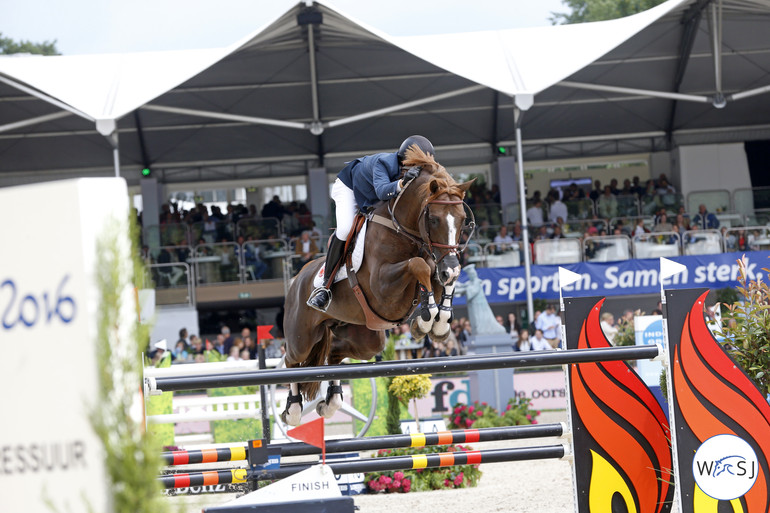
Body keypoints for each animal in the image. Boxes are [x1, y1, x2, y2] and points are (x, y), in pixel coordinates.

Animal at [280, 147, 472, 424]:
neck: (403, 231)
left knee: (334, 353)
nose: (451, 265)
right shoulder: (384, 290)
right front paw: (427, 319)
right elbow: (419, 266)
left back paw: (331, 402)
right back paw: (293, 410)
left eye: (463, 219)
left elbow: (435, 276)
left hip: (366, 338)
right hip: (302, 338)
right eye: (434, 219)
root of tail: (296, 279)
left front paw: (439, 322)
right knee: (291, 360)